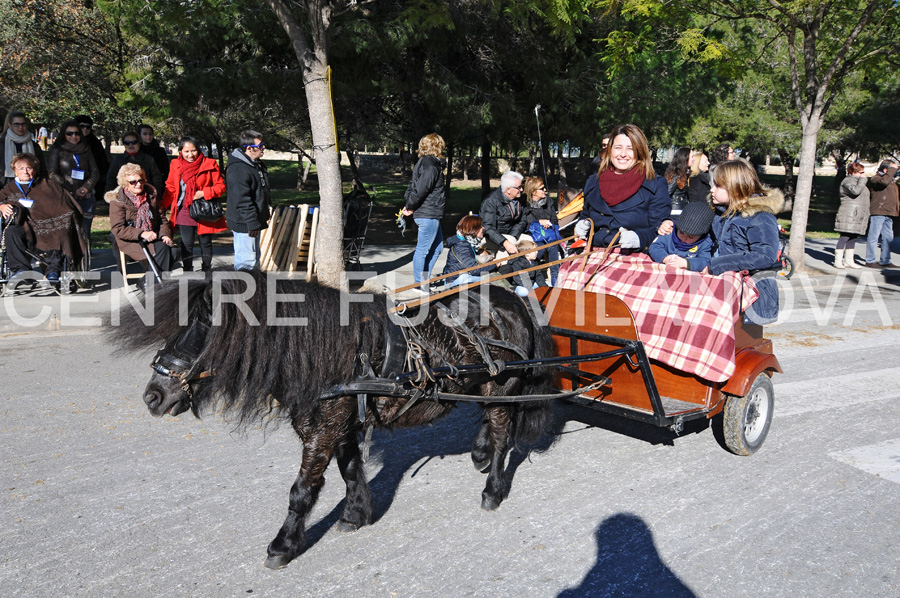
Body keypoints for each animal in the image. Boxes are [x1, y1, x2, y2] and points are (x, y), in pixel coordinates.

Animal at [112, 272, 556, 572]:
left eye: (202, 330)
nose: (153, 396)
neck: (332, 353)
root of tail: (513, 300)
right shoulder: (338, 422)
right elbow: (349, 469)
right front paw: (356, 513)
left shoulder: (324, 429)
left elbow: (302, 491)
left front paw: (283, 545)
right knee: (490, 424)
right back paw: (479, 453)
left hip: (502, 385)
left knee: (503, 434)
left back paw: (493, 488)